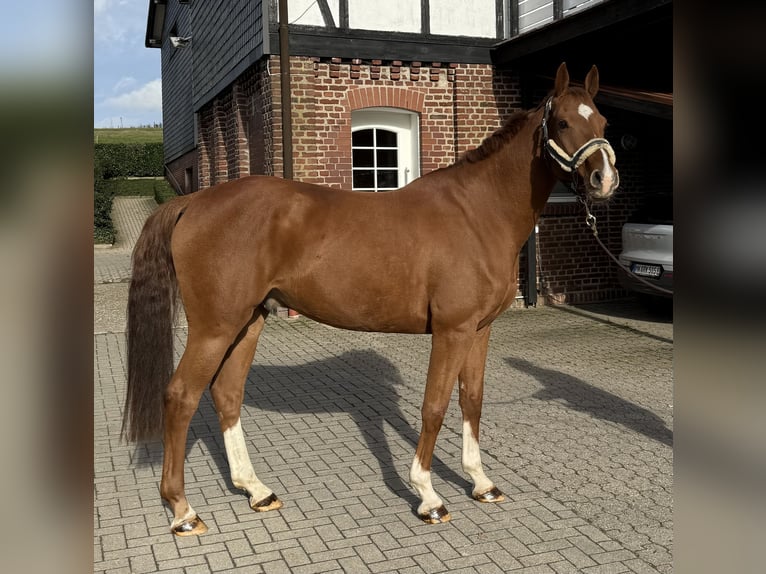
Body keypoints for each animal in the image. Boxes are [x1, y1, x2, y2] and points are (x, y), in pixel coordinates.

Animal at [123, 62, 619, 536]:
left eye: (602, 121)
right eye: (561, 121)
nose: (604, 178)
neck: (477, 213)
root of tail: (194, 201)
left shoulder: (479, 331)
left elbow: (471, 400)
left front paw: (481, 483)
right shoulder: (452, 331)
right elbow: (434, 406)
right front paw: (428, 496)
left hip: (248, 322)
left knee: (226, 393)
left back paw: (256, 490)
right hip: (214, 328)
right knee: (181, 397)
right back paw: (183, 511)